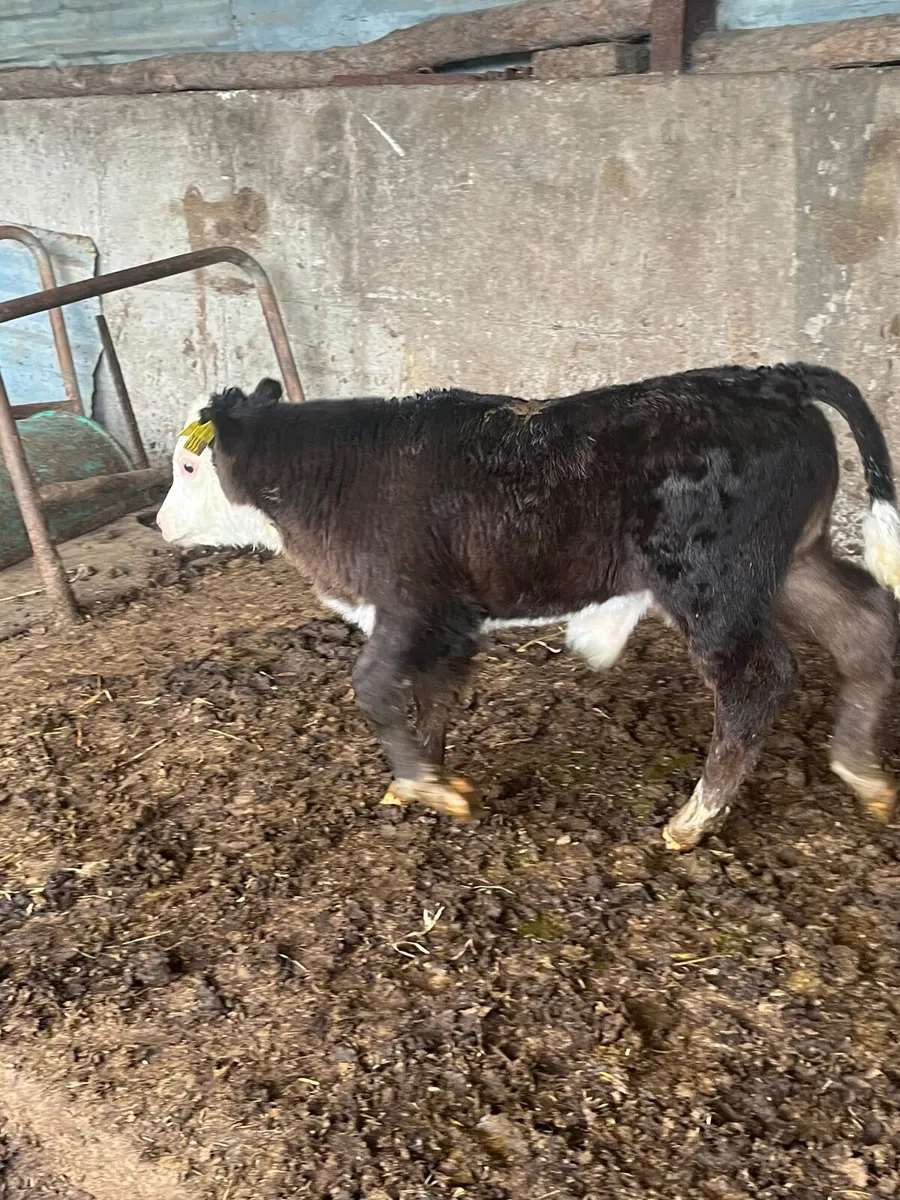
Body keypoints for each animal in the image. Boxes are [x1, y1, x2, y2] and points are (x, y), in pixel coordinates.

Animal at [156, 364, 900, 850]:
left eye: (189, 467)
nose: (158, 523)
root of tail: (771, 379)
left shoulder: (414, 604)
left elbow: (371, 685)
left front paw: (421, 783)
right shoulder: (452, 621)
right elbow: (433, 696)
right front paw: (427, 778)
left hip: (711, 583)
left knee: (758, 679)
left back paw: (694, 819)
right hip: (792, 561)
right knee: (865, 625)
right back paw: (861, 771)